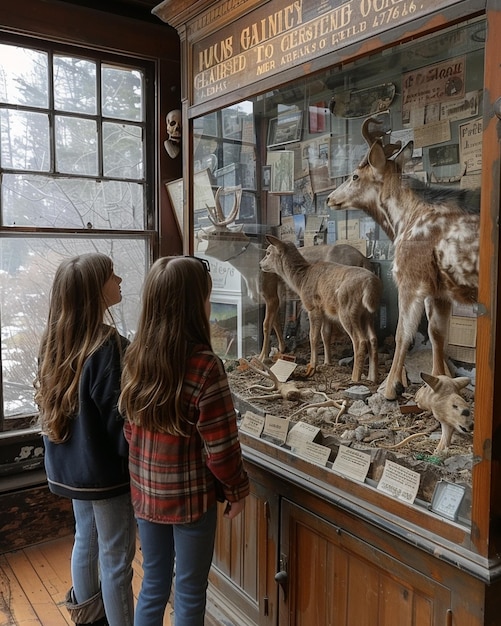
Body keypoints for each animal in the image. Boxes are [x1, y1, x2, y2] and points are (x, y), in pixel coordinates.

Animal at [199, 185, 372, 360]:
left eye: (214, 233)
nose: (198, 236)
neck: (251, 272)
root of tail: (363, 258)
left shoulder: (271, 293)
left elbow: (266, 325)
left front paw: (262, 357)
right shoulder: (272, 299)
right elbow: (276, 323)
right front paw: (281, 349)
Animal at [260, 234, 380, 380]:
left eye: (268, 252)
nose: (260, 264)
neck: (301, 280)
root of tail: (370, 284)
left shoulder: (313, 307)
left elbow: (313, 337)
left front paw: (312, 366)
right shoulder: (325, 311)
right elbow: (325, 334)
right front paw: (326, 363)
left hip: (347, 311)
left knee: (360, 341)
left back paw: (355, 377)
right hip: (369, 314)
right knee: (373, 339)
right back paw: (372, 377)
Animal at [326, 116, 478, 400]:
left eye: (354, 175)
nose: (330, 198)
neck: (401, 222)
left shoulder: (410, 279)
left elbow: (401, 334)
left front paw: (390, 387)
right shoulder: (439, 292)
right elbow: (437, 334)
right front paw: (439, 386)